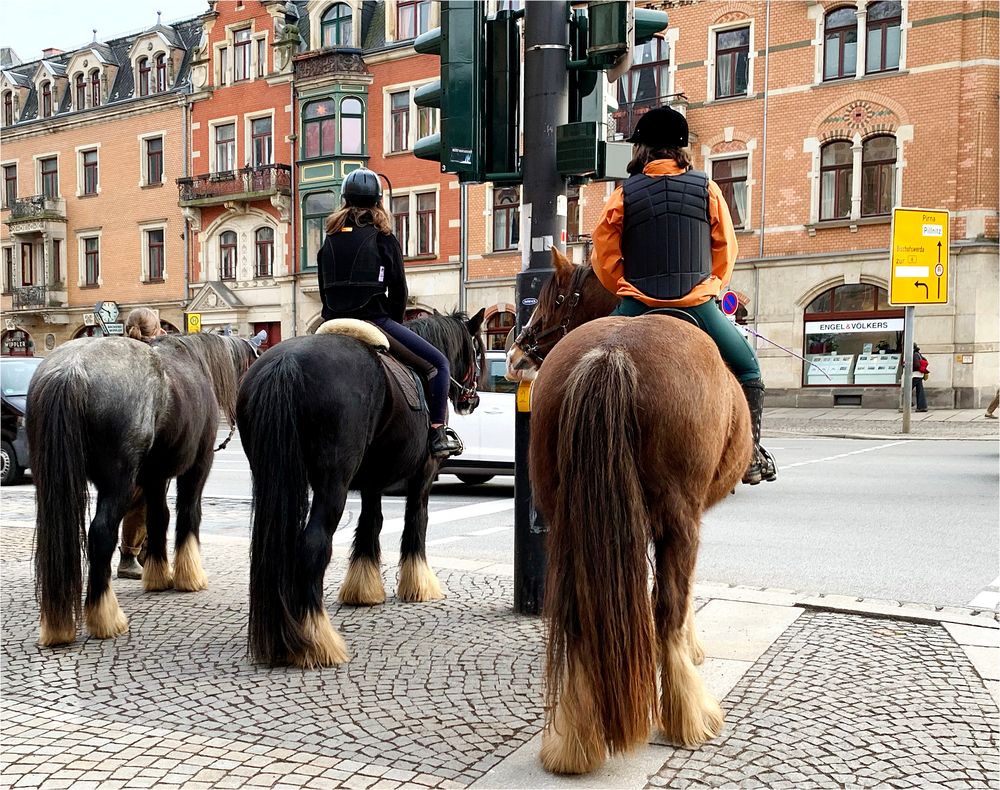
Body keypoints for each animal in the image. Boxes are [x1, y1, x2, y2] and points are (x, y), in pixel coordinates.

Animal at [31, 334, 260, 648]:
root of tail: (70, 370)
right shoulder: (197, 467)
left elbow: (158, 518)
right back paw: (105, 618)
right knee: (101, 534)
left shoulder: (154, 477)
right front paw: (189, 576)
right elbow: (188, 515)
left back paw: (57, 625)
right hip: (119, 483)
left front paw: (158, 575)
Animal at [235, 310, 484, 668]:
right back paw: (316, 639)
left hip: (270, 474)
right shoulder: (423, 476)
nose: (472, 399)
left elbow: (370, 525)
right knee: (313, 545)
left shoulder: (371, 482)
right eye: (478, 349)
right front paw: (419, 583)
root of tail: (286, 362)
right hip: (332, 484)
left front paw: (363, 590)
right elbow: (416, 523)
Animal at [512, 251, 752, 776]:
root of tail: (612, 353)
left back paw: (573, 740)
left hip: (564, 520)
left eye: (555, 299)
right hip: (679, 517)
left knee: (577, 618)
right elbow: (678, 595)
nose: (516, 357)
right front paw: (693, 647)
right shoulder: (688, 518)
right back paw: (689, 716)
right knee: (667, 609)